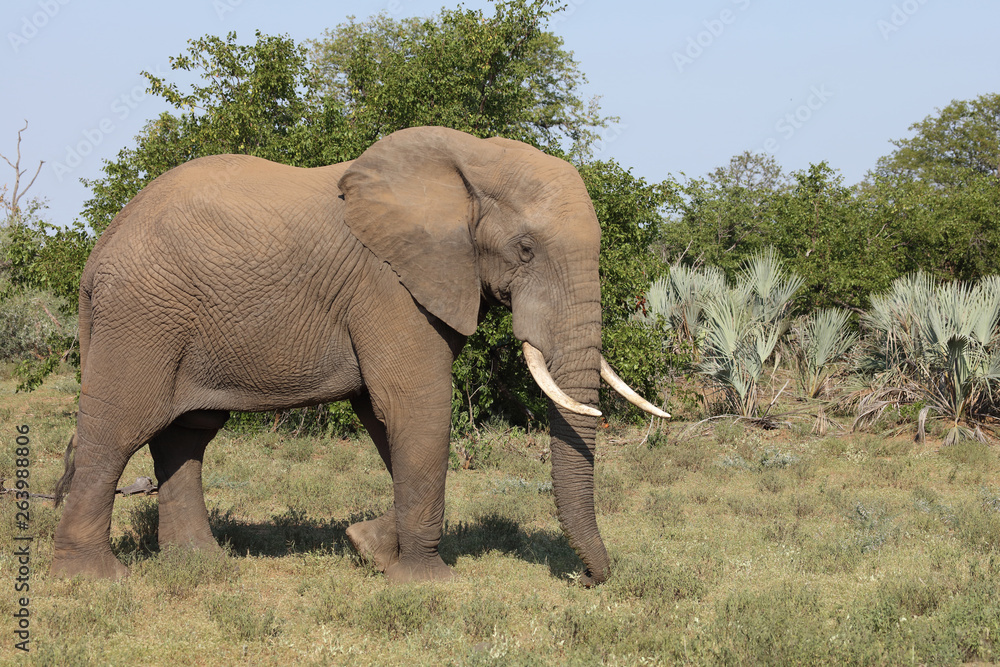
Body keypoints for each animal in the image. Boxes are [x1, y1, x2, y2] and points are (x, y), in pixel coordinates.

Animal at [50, 126, 668, 585]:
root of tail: (98, 251)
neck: (470, 160)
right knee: (119, 428)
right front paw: (427, 582)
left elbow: (382, 414)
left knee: (187, 433)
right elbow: (415, 405)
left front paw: (366, 547)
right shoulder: (388, 284)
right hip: (142, 316)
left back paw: (201, 565)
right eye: (525, 249)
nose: (585, 579)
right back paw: (93, 580)